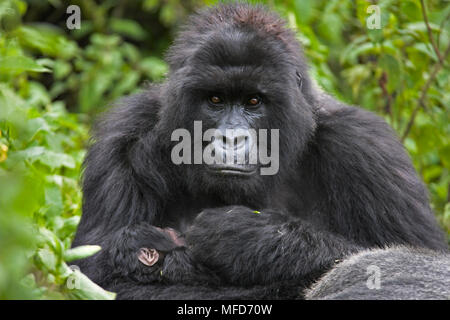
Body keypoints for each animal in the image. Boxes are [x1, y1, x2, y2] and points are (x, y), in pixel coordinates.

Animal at [71, 3, 446, 300]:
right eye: (215, 99)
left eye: (254, 101)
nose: (231, 140)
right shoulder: (123, 135)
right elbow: (99, 277)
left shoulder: (365, 146)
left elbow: (411, 255)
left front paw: (252, 240)